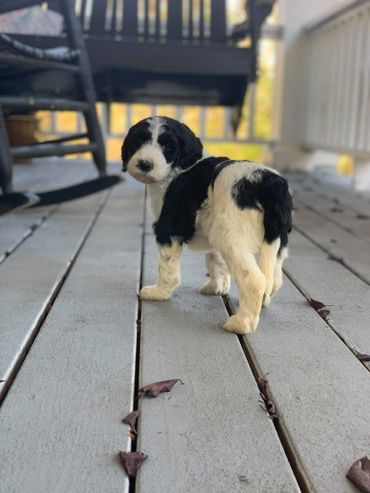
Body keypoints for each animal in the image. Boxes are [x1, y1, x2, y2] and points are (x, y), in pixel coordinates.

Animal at [121, 115, 292, 332]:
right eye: (138, 141)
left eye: (168, 147)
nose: (144, 164)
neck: (178, 169)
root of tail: (268, 182)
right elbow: (216, 261)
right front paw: (217, 287)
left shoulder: (169, 229)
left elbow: (167, 267)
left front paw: (159, 292)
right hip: (273, 239)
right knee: (275, 278)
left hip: (232, 237)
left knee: (255, 280)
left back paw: (241, 323)